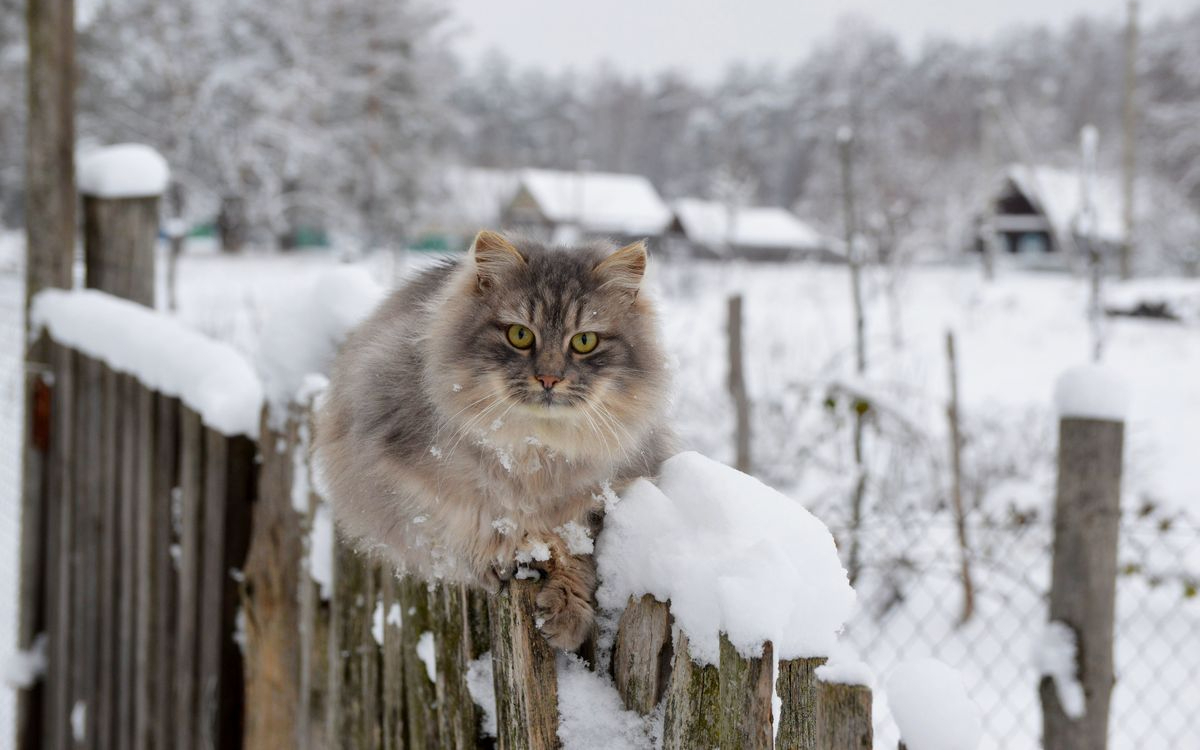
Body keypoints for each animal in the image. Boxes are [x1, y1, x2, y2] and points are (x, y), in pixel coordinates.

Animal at [314, 231, 676, 648]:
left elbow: (576, 551)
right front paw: (495, 554)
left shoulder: (602, 494)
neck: (535, 445)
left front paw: (566, 607)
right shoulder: (395, 471)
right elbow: (461, 519)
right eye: (520, 335)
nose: (549, 379)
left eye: (584, 341)